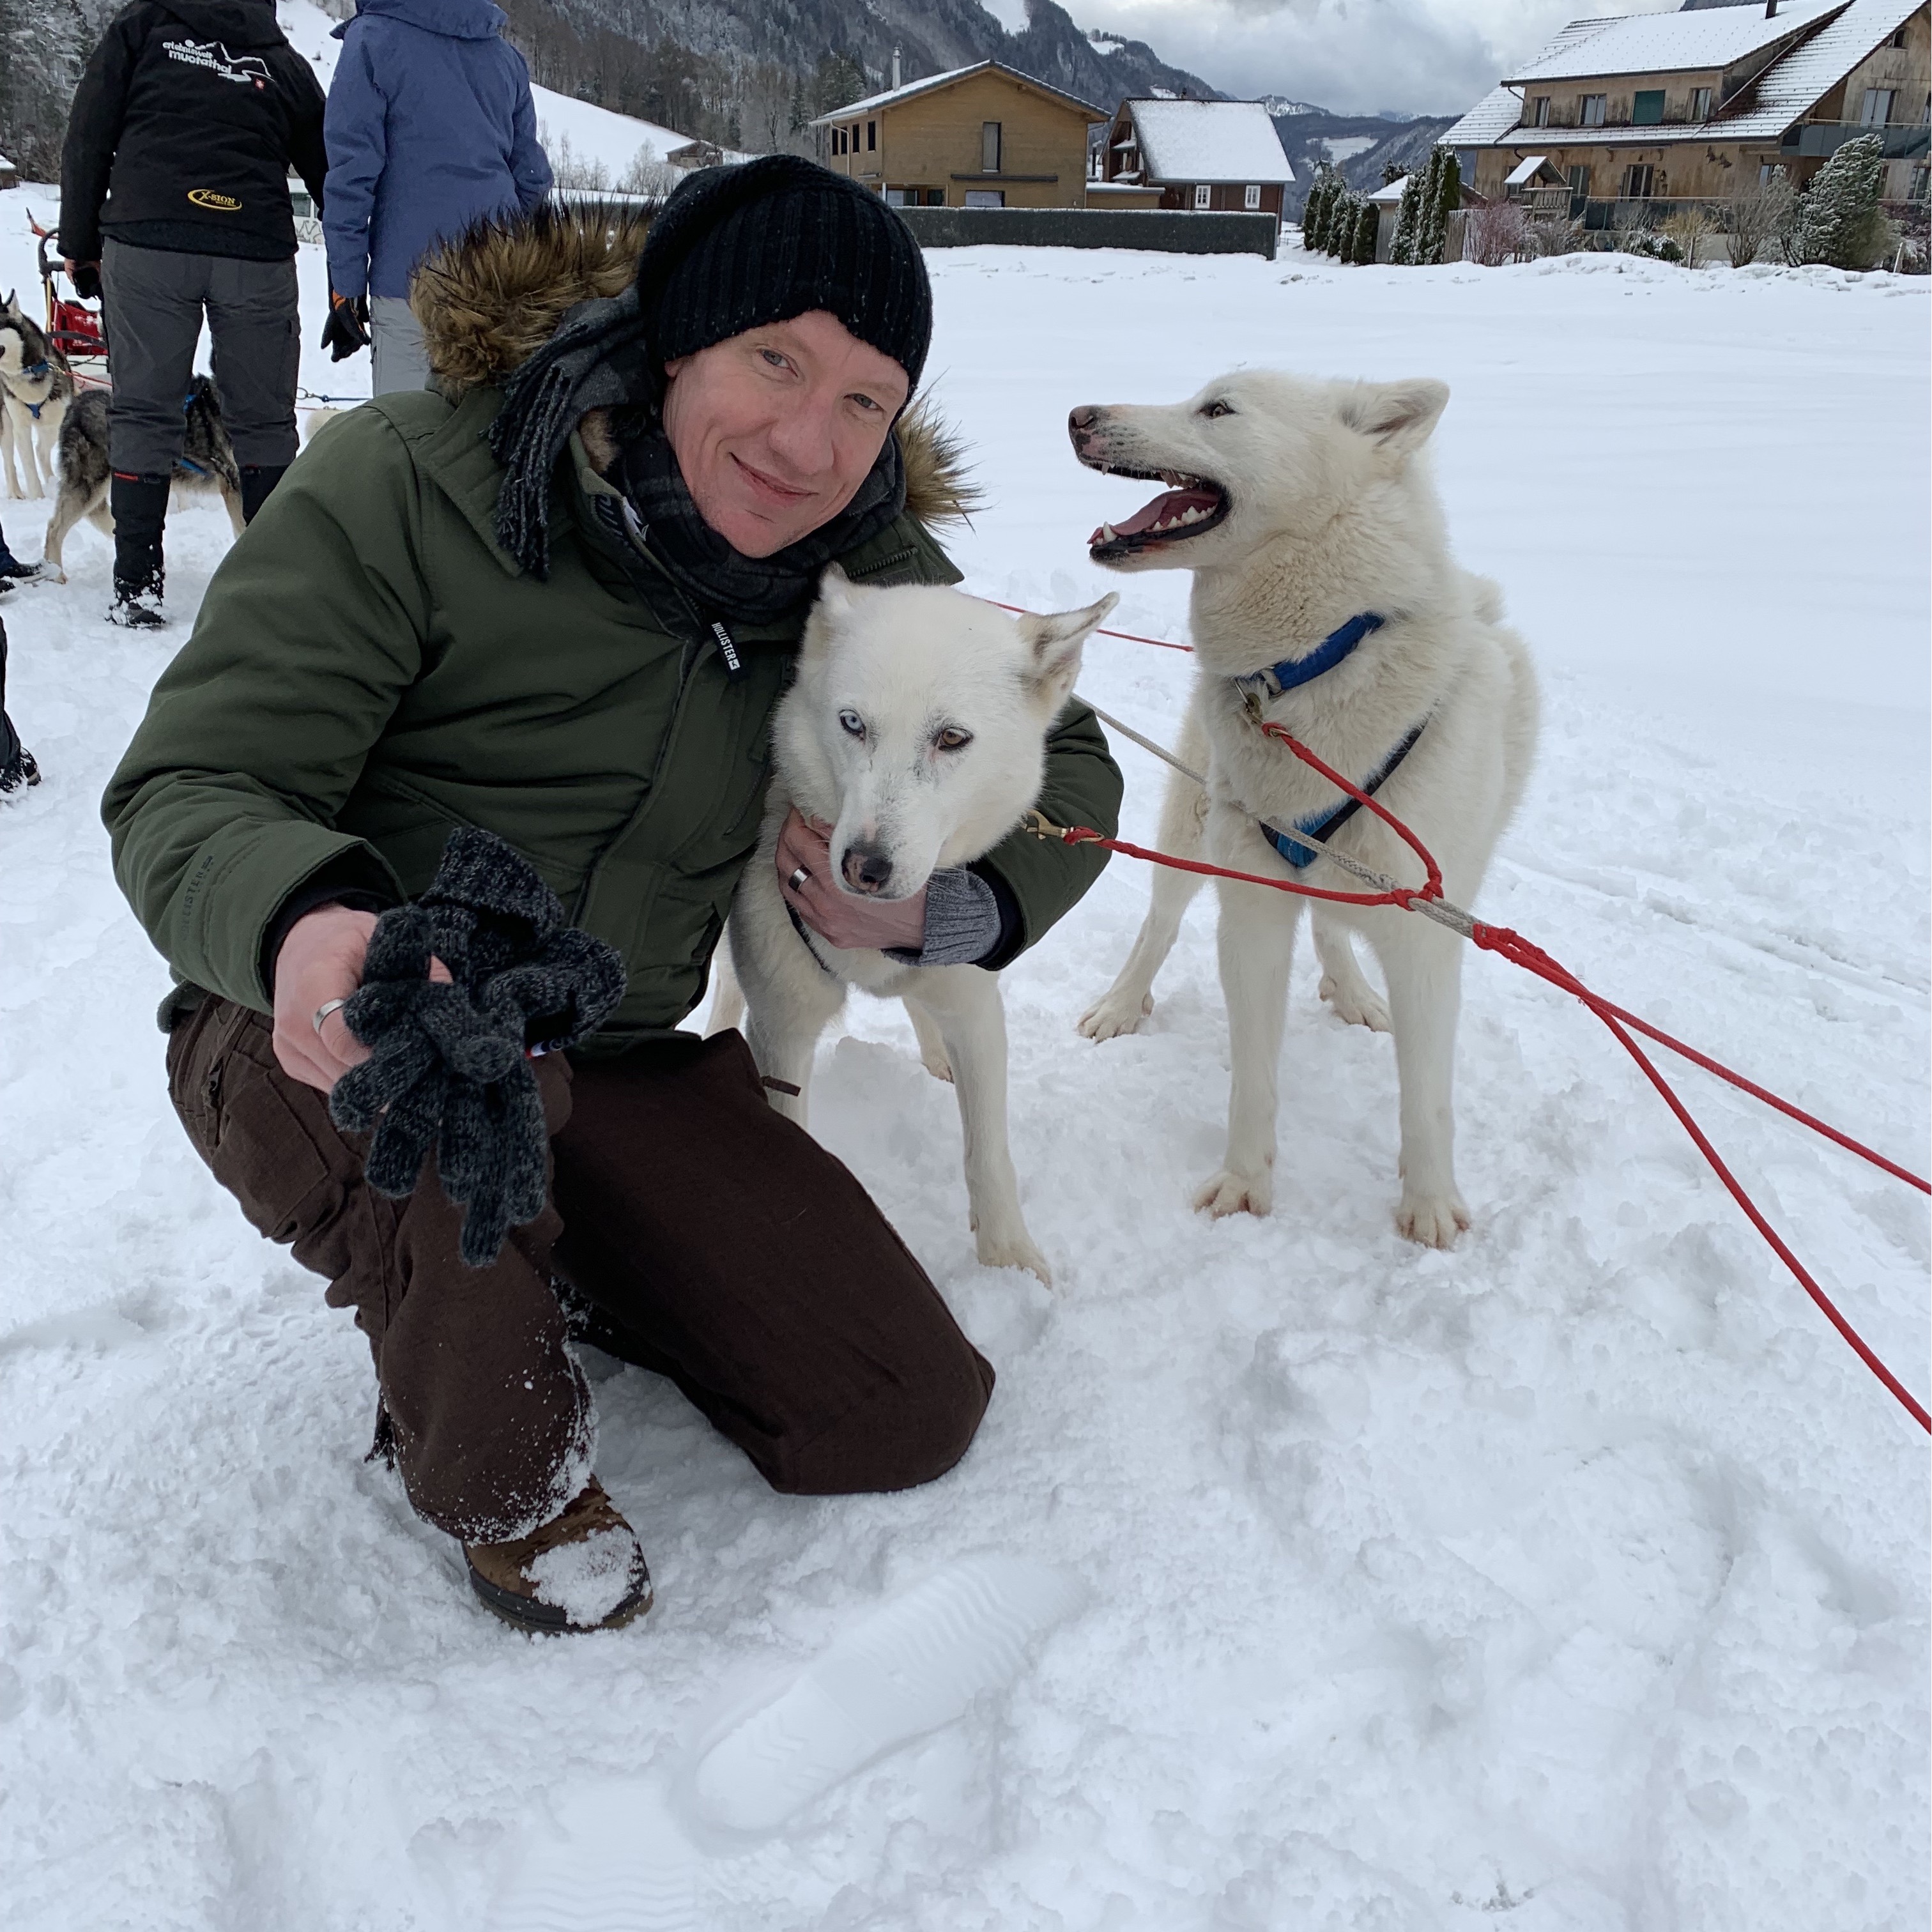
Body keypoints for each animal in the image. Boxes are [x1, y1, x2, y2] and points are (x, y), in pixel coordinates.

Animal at [710, 564, 1120, 1282]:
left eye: (951, 738)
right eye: (852, 724)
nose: (864, 867)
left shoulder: (976, 1008)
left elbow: (988, 1151)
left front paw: (1009, 1264)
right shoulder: (785, 1029)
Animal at [1074, 372, 1538, 1252]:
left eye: (1218, 408)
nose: (1079, 414)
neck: (1309, 668)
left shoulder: (1426, 936)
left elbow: (1426, 1099)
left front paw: (1429, 1204)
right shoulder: (1251, 912)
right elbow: (1253, 1078)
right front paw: (1244, 1184)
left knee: (1330, 923)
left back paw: (1352, 989)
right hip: (1193, 831)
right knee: (1159, 926)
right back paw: (1119, 1004)